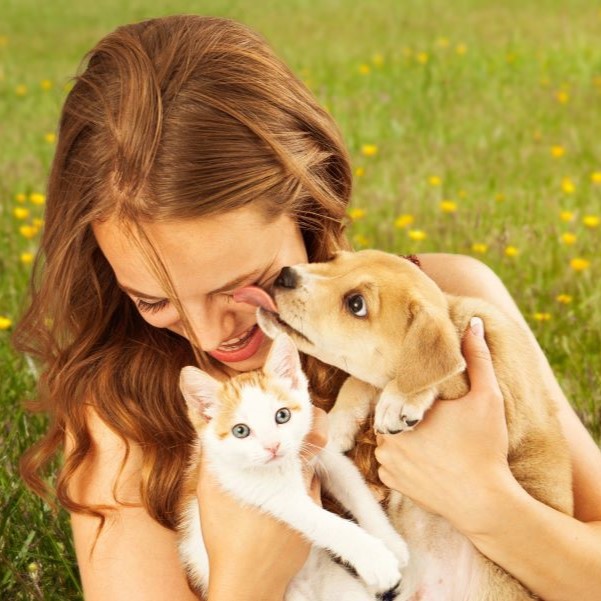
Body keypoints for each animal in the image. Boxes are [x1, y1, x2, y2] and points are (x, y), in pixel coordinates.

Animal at [175, 332, 408, 600]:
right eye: (240, 431)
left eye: (282, 415)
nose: (273, 446)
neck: (286, 464)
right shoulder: (268, 493)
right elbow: (326, 523)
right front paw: (376, 560)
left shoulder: (324, 454)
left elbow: (359, 495)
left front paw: (392, 544)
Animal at [258, 247, 572, 600]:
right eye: (335, 259)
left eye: (356, 304)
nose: (285, 274)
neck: (455, 318)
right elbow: (360, 381)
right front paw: (340, 423)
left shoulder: (493, 389)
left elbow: (435, 374)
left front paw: (400, 399)